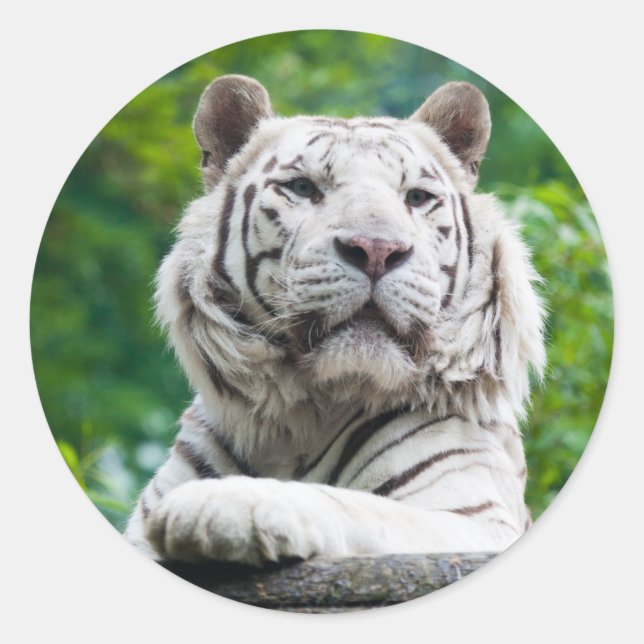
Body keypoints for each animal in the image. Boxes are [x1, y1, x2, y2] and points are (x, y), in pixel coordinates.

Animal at [124, 74, 546, 566]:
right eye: (303, 187)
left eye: (417, 197)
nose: (377, 250)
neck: (299, 422)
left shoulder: (473, 516)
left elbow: (357, 506)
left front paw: (219, 505)